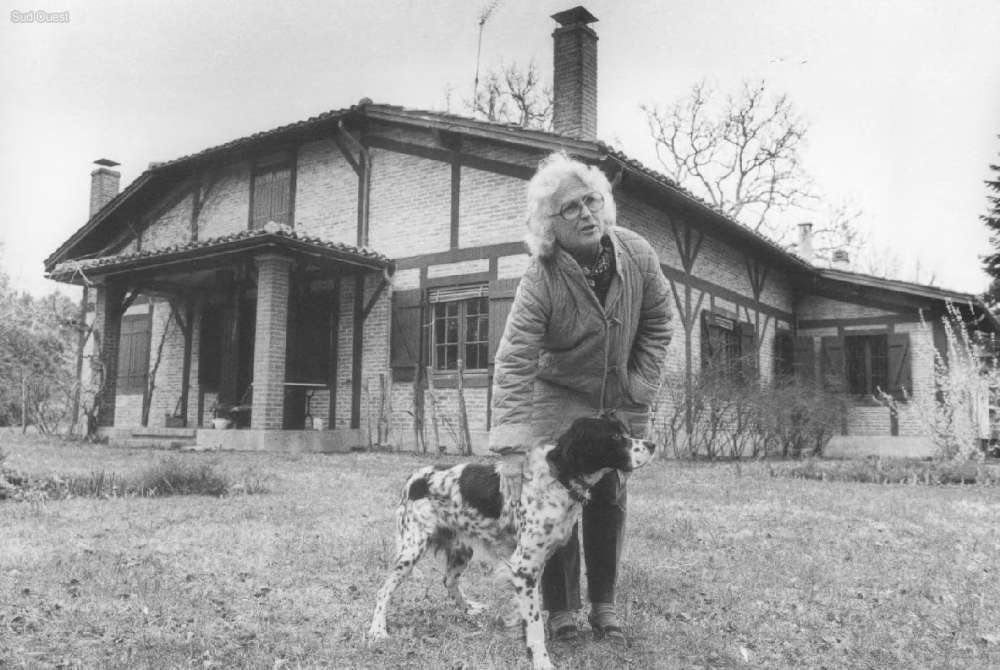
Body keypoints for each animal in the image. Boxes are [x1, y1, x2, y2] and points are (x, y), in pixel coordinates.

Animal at [368, 418, 656, 668]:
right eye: (615, 437)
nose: (652, 445)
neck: (558, 478)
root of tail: (415, 476)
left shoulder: (536, 563)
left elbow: (527, 610)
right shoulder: (524, 566)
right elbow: (535, 621)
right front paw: (541, 659)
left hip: (462, 548)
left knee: (448, 581)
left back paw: (469, 608)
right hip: (412, 549)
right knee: (384, 589)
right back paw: (377, 630)